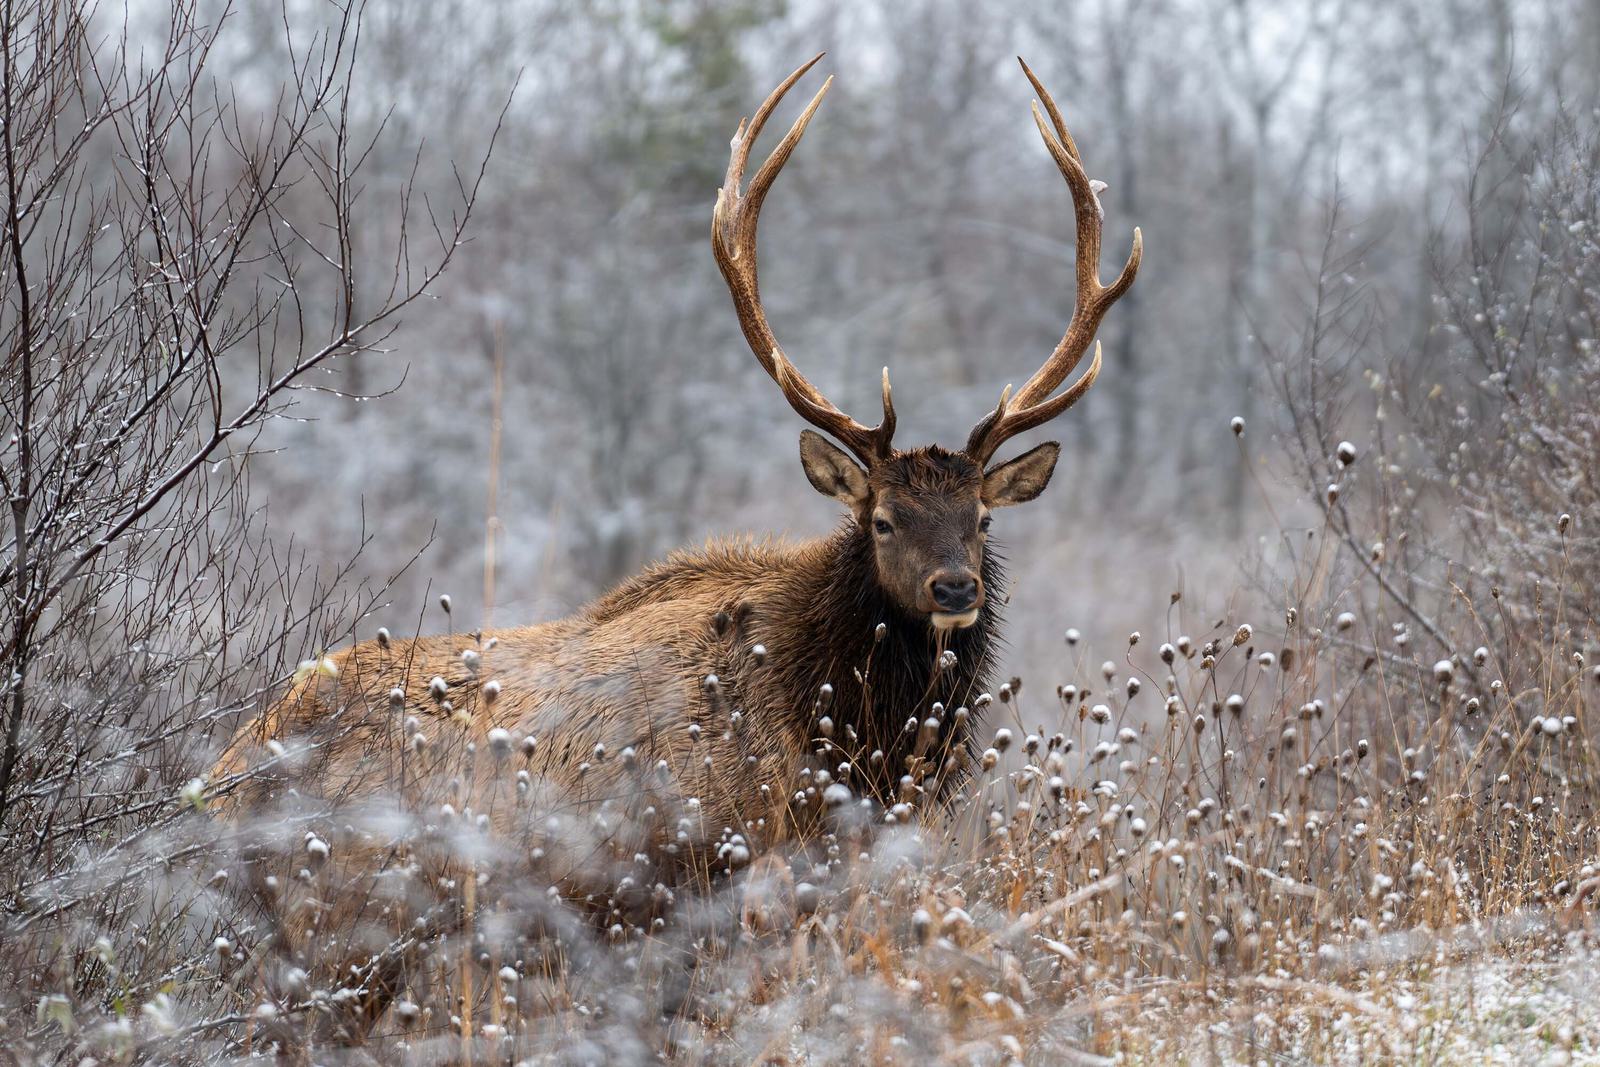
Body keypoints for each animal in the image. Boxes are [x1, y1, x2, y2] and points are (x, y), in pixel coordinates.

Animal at [209, 55, 1139, 1040]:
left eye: (982, 518)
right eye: (884, 517)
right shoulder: (698, 868)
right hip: (344, 922)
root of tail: (226, 779)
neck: (839, 735)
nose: (957, 588)